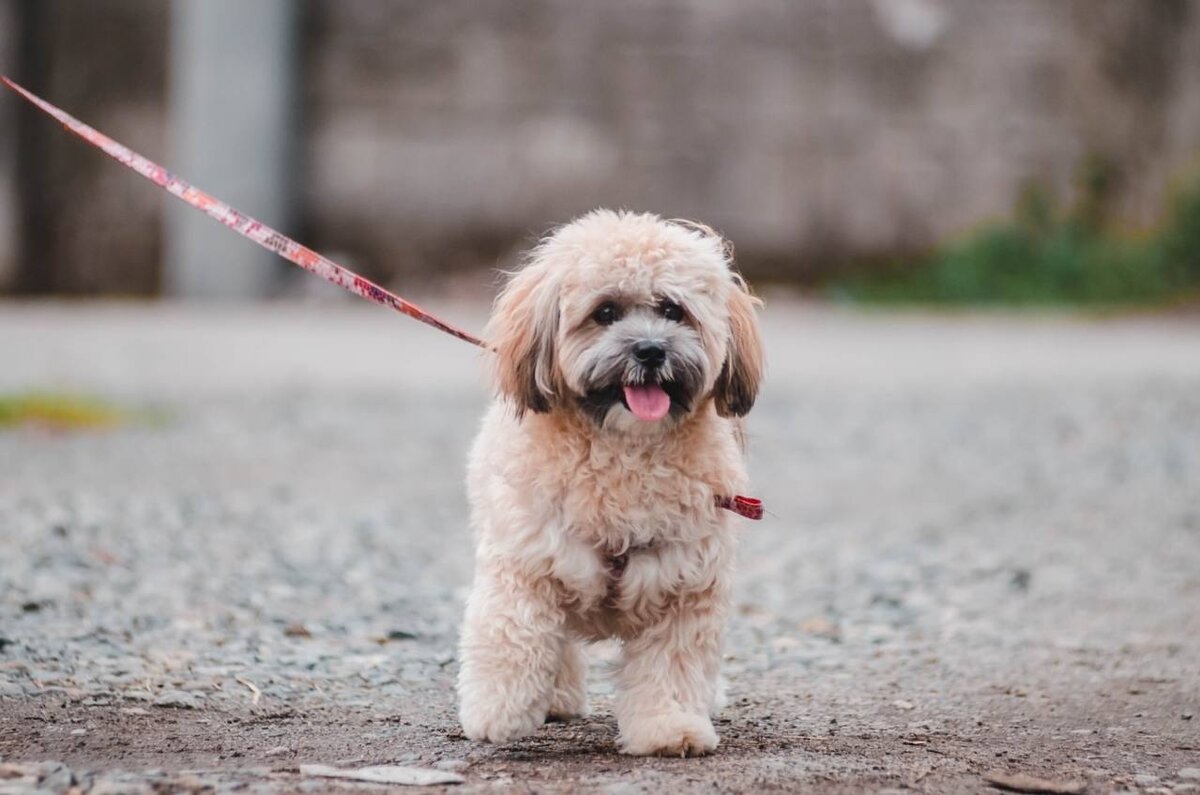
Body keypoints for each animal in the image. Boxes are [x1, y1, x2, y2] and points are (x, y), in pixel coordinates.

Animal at [453, 208, 763, 758]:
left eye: (673, 310)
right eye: (605, 312)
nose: (650, 350)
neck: (626, 453)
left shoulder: (685, 586)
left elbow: (672, 667)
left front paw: (670, 727)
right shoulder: (526, 561)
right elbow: (514, 631)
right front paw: (499, 712)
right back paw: (554, 698)